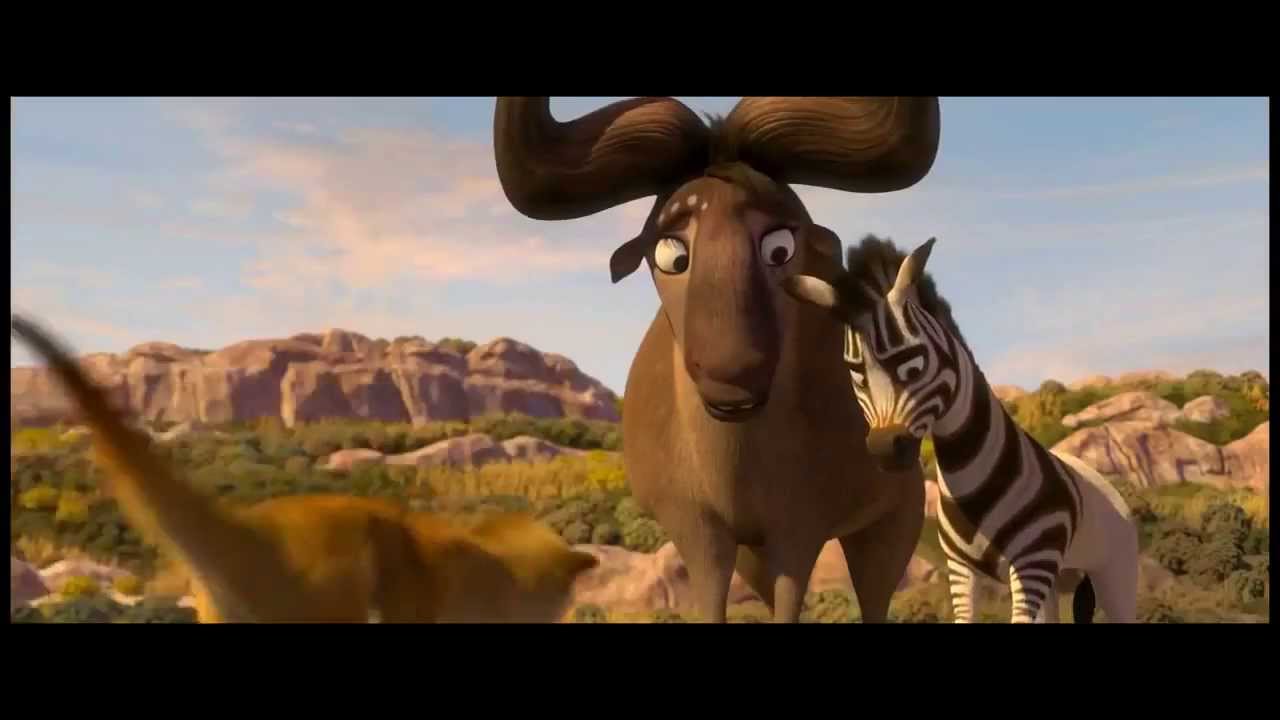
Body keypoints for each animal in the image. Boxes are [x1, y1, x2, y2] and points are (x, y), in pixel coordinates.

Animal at [782, 235, 1139, 623]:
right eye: (856, 373)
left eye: (914, 363)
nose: (885, 450)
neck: (969, 473)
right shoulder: (962, 570)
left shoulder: (1030, 565)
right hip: (1057, 576)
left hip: (1110, 571)